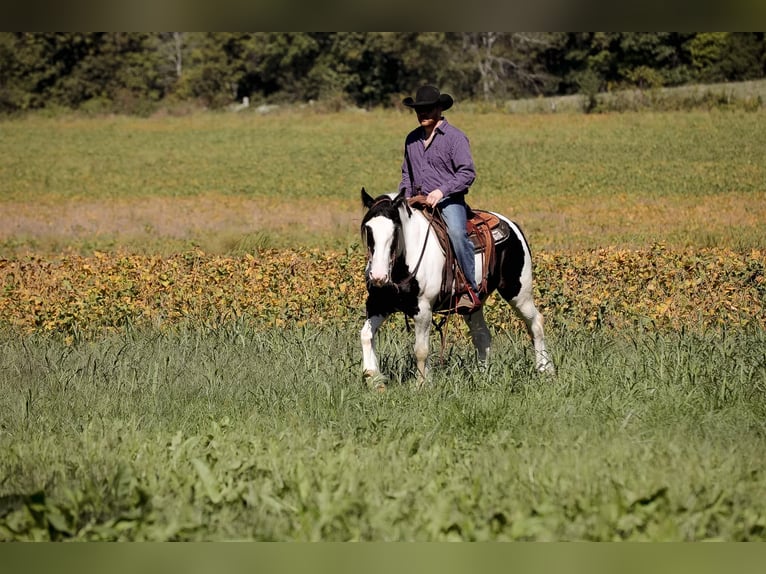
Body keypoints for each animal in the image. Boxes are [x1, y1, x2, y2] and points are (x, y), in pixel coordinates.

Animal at [364, 189, 556, 392]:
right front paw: (373, 378)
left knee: (536, 323)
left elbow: (421, 350)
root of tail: (512, 225)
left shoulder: (423, 309)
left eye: (395, 230)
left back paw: (545, 370)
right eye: (368, 229)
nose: (378, 276)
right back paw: (482, 375)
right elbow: (366, 335)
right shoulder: (379, 304)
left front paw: (422, 384)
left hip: (518, 292)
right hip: (473, 304)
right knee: (482, 336)